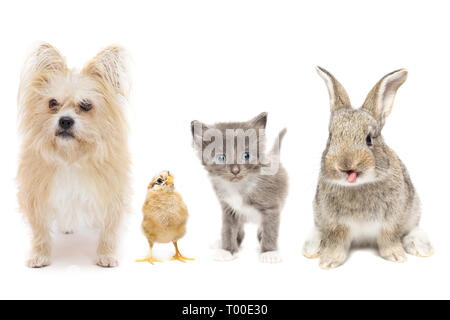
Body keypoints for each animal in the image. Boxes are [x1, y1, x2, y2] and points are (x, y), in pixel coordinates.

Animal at [16, 42, 131, 268]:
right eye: (52, 103)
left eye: (86, 105)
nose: (65, 120)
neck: (71, 157)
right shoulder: (36, 194)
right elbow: (39, 230)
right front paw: (39, 255)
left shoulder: (112, 194)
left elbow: (109, 229)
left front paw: (106, 254)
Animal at [191, 114, 288, 264]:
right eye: (221, 158)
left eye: (246, 155)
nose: (236, 171)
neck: (239, 187)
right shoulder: (229, 209)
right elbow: (228, 230)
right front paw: (226, 250)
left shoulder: (272, 208)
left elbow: (270, 230)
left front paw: (269, 252)